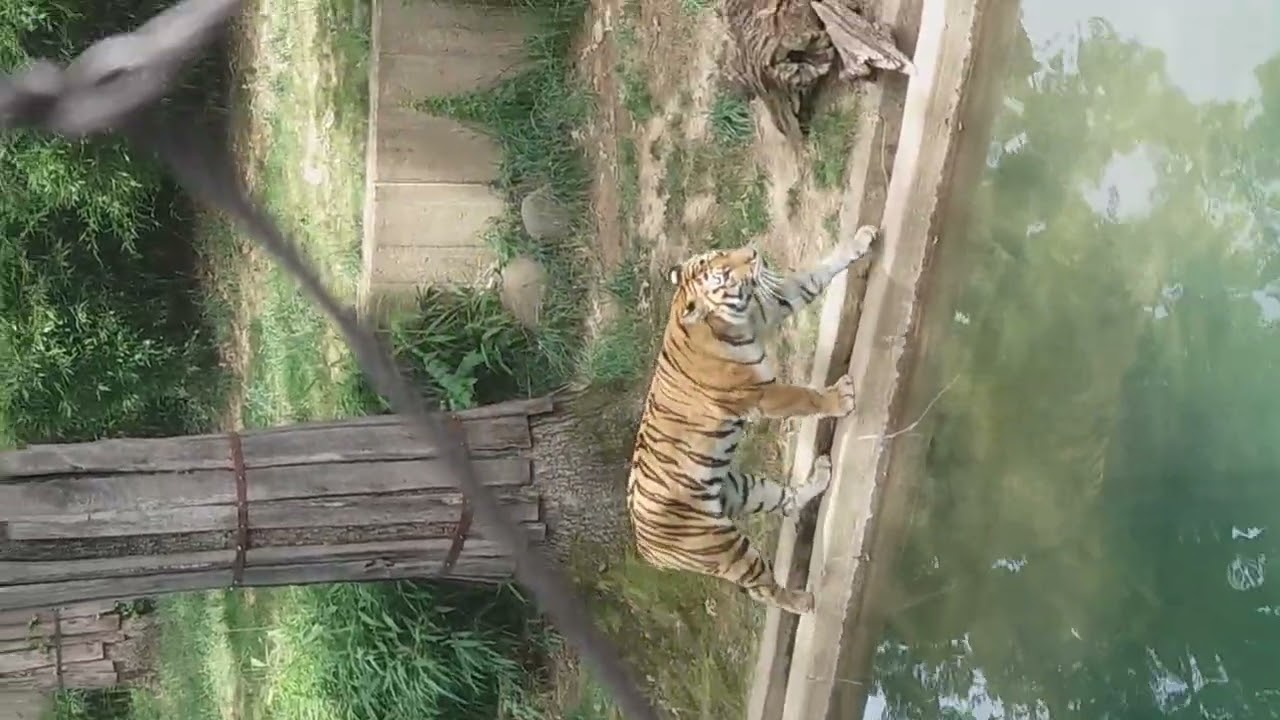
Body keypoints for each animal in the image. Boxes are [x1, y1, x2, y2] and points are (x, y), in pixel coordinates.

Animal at [626, 224, 878, 615]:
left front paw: (861, 239)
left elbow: (814, 275)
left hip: (742, 487)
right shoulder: (762, 395)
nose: (754, 253)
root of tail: (646, 549)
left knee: (787, 502)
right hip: (725, 548)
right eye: (725, 274)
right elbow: (805, 397)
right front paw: (841, 398)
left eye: (720, 254)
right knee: (762, 589)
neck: (729, 320)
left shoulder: (769, 305)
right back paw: (804, 601)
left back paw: (822, 474)